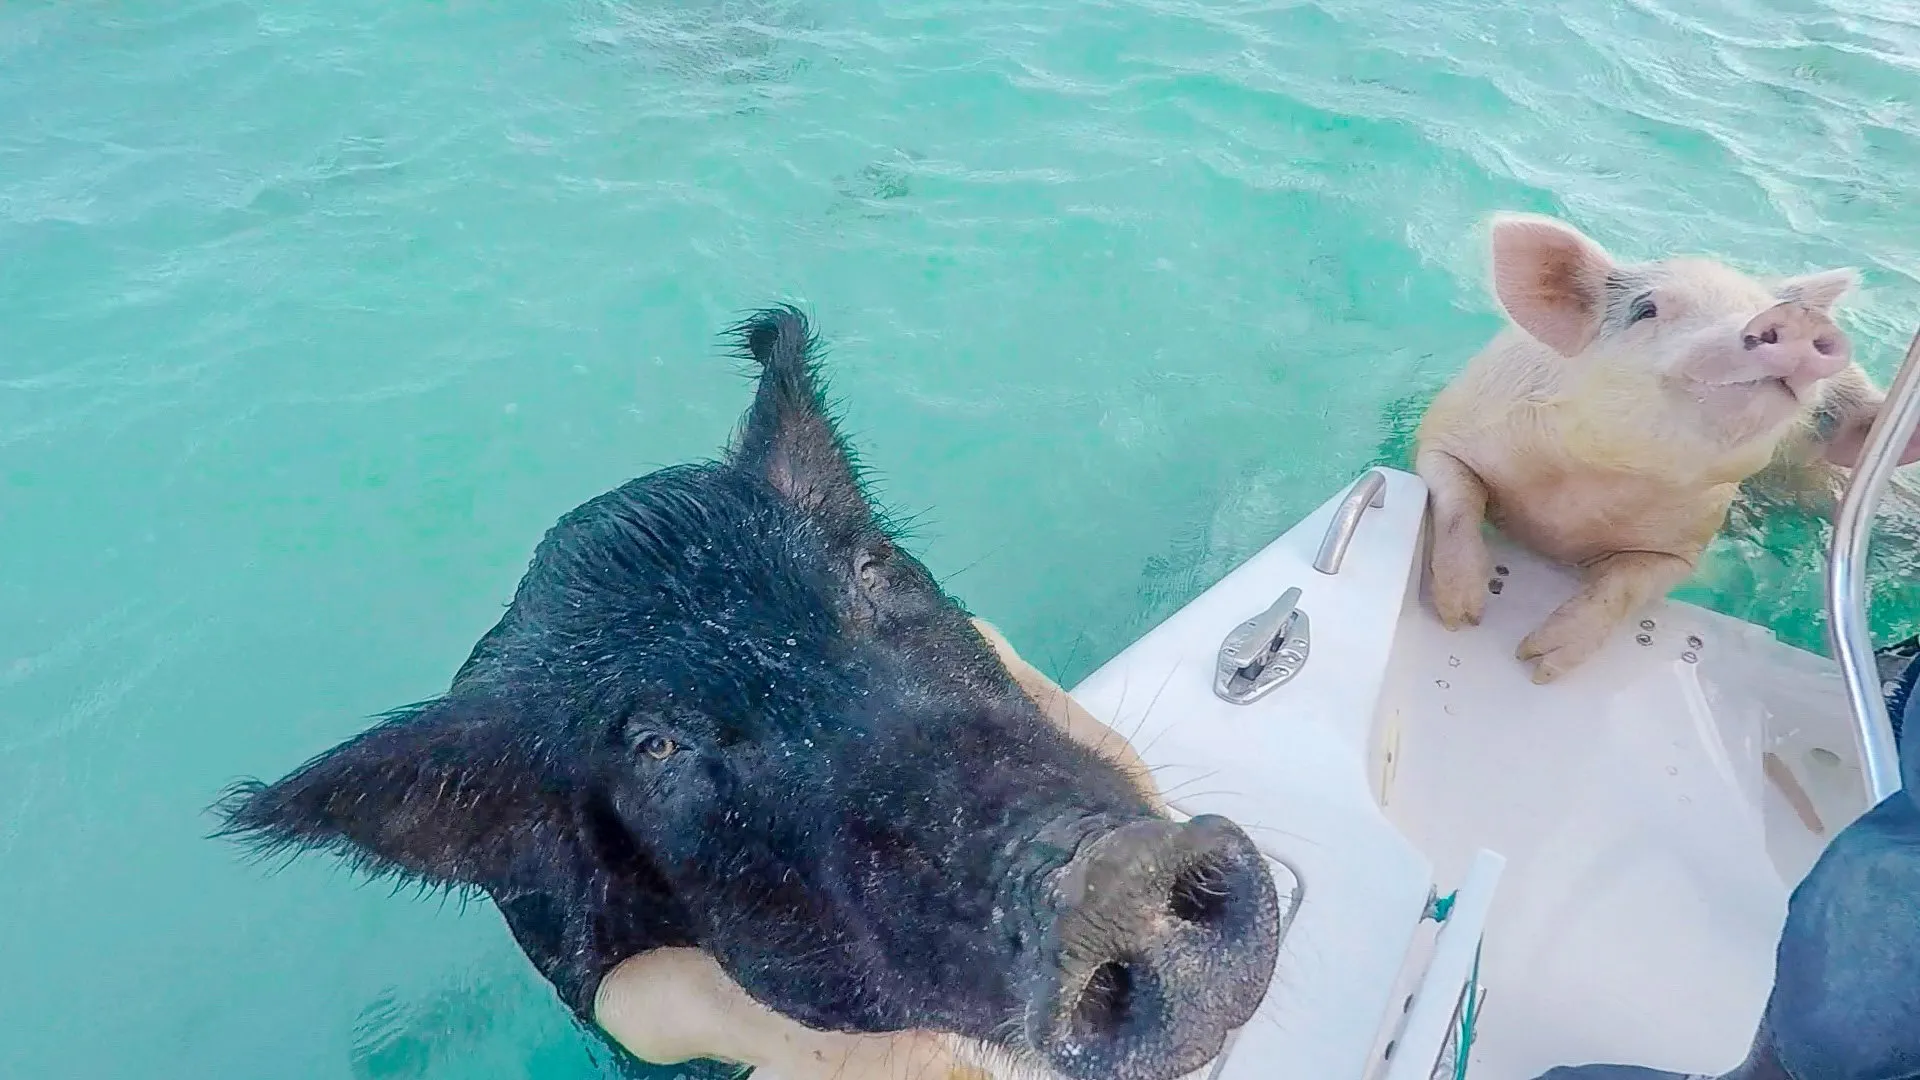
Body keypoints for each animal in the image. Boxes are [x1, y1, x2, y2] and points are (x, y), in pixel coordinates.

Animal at [1416, 213, 1920, 683]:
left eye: (1824, 418)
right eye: (1647, 309)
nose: (1798, 318)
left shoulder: (1685, 544)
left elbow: (1627, 583)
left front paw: (1539, 663)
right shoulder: (1449, 429)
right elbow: (1457, 494)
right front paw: (1461, 616)